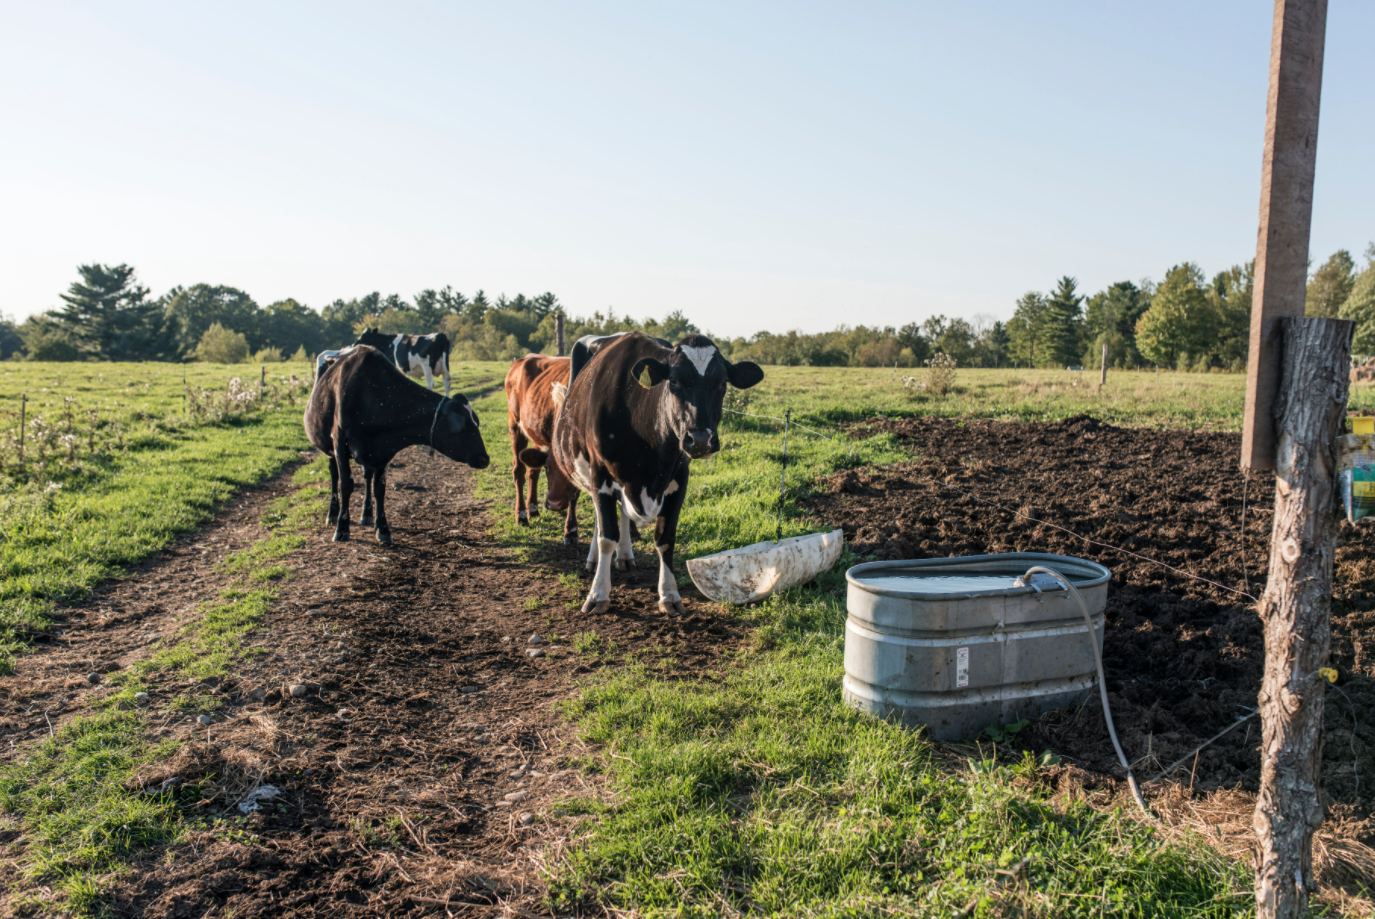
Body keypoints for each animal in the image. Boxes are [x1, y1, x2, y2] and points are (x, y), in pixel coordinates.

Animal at [303, 343, 492, 544]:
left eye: (476, 423)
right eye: (463, 427)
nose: (484, 459)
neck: (374, 396)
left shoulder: (384, 448)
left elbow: (379, 489)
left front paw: (383, 529)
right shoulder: (340, 442)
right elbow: (345, 485)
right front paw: (342, 528)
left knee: (367, 475)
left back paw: (367, 514)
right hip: (328, 446)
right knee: (334, 475)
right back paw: (332, 514)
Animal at [506, 357, 580, 544]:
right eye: (549, 468)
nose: (553, 504)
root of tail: (521, 359)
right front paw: (571, 531)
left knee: (532, 471)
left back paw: (533, 509)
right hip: (515, 426)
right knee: (519, 471)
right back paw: (522, 516)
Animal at [547, 334, 764, 613]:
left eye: (723, 382)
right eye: (673, 381)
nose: (701, 439)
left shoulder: (679, 479)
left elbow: (665, 538)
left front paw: (669, 595)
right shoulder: (600, 475)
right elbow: (607, 536)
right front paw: (598, 594)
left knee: (623, 512)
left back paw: (625, 556)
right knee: (600, 518)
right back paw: (594, 559)